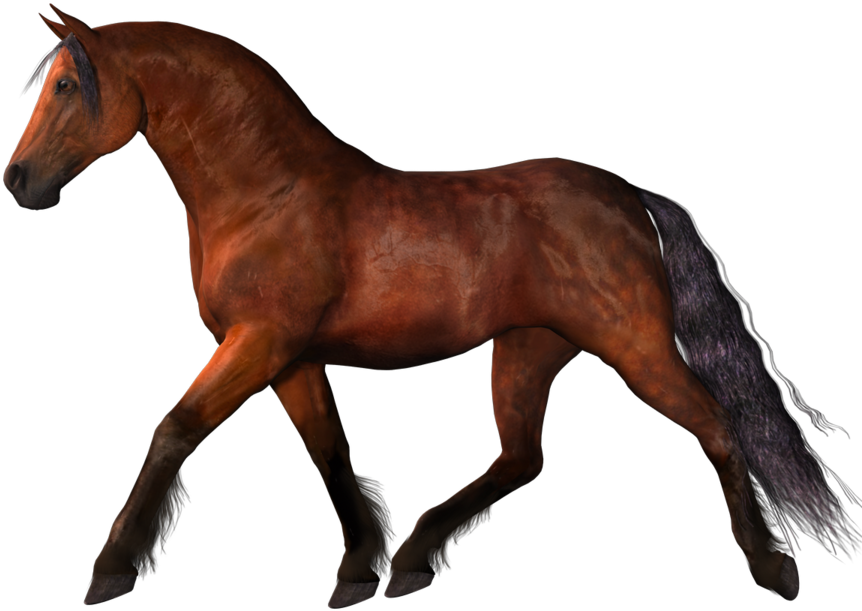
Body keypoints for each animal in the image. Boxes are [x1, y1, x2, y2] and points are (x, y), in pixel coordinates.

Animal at [6, 5, 860, 607]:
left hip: (637, 346)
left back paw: (775, 568)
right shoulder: (290, 358)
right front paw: (358, 570)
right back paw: (414, 559)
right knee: (521, 458)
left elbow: (175, 427)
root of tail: (632, 198)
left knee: (716, 425)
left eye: (67, 85)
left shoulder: (258, 341)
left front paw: (111, 567)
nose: (17, 181)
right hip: (527, 349)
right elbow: (329, 452)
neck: (269, 193)